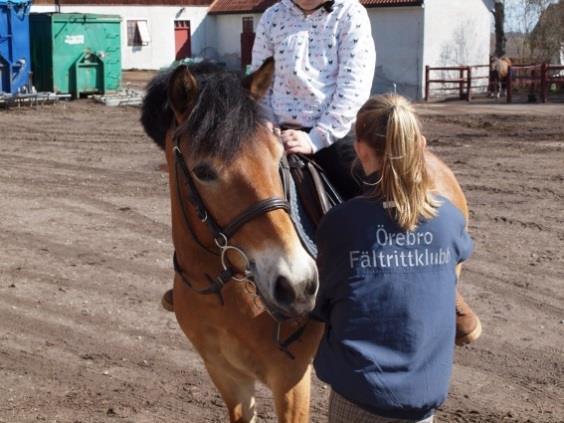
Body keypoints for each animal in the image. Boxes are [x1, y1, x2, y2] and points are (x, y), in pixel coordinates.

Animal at [142, 58, 472, 422]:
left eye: (278, 158)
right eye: (203, 171)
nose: (297, 285)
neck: (223, 287)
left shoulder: (289, 380)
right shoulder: (225, 375)